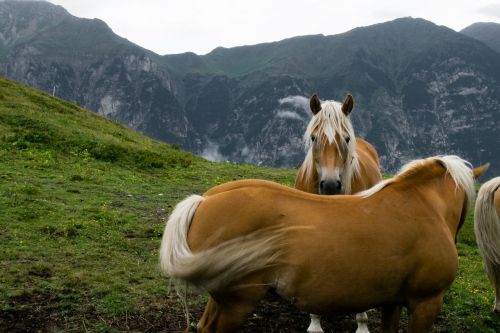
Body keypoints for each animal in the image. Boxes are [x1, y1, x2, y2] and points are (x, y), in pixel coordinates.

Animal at [162, 155, 486, 332]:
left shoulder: (391, 302)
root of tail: (205, 200)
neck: (423, 207)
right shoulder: (426, 303)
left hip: (222, 299)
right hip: (236, 302)